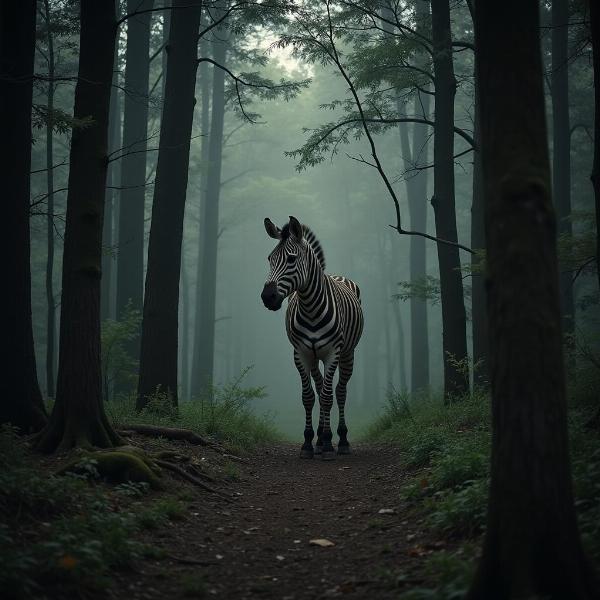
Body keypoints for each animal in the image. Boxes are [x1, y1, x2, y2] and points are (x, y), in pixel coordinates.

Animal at [260, 216, 364, 460]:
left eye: (291, 258)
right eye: (269, 259)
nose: (267, 297)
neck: (310, 308)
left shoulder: (332, 353)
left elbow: (327, 397)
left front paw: (329, 444)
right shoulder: (301, 354)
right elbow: (308, 397)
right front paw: (308, 442)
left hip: (348, 353)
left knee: (339, 391)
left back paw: (340, 439)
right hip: (315, 357)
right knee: (319, 387)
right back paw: (319, 438)